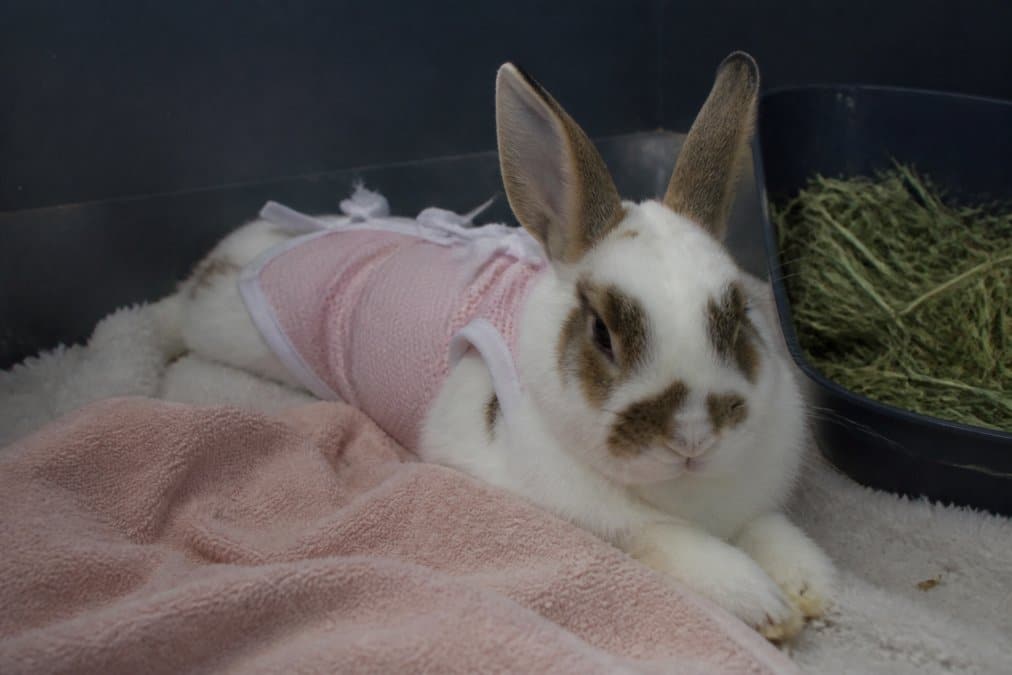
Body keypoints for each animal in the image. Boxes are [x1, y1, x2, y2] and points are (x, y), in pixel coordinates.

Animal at [164, 51, 834, 641]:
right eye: (602, 332)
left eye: (738, 317)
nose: (693, 437)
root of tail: (241, 248)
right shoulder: (587, 516)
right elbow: (667, 541)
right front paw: (761, 603)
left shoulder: (752, 502)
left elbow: (769, 527)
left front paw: (812, 590)